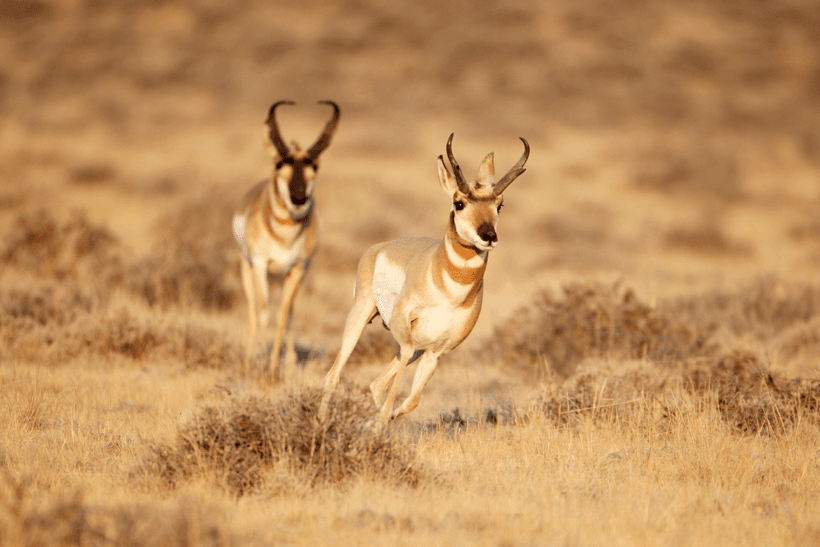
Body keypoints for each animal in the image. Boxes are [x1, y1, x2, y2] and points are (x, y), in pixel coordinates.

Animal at [233, 100, 340, 380]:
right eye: (279, 163)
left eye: (315, 166)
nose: (299, 198)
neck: (285, 236)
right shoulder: (260, 265)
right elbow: (263, 312)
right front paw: (259, 365)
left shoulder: (298, 268)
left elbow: (283, 314)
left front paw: (274, 367)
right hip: (248, 269)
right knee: (252, 311)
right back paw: (248, 360)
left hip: (288, 275)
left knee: (289, 312)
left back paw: (288, 362)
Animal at [318, 133, 529, 426]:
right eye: (459, 203)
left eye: (499, 205)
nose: (488, 235)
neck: (449, 292)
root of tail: (380, 247)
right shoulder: (405, 331)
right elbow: (399, 380)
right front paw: (379, 421)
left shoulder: (436, 352)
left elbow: (412, 401)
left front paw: (381, 421)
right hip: (360, 317)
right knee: (334, 375)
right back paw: (321, 424)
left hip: (417, 345)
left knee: (376, 384)